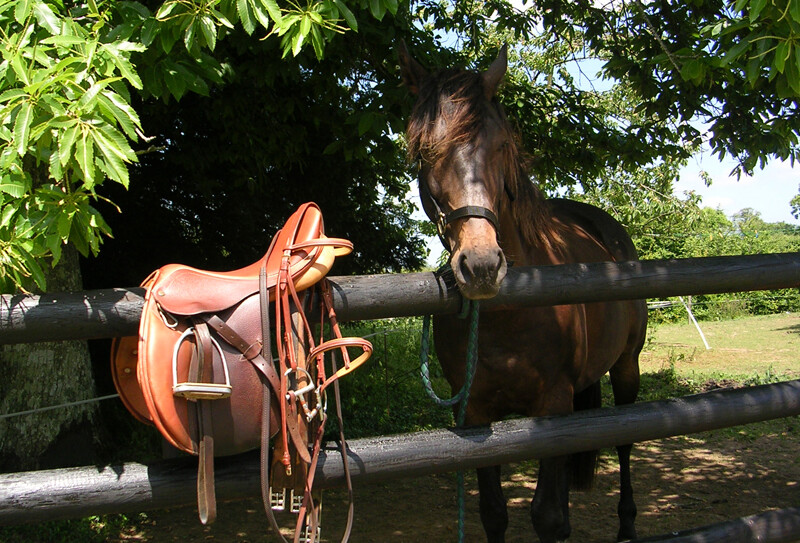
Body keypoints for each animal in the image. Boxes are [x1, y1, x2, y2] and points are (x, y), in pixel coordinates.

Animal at [400, 41, 648, 543]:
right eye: (425, 153)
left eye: (501, 146)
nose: (481, 266)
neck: (508, 317)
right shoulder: (473, 411)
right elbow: (496, 512)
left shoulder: (552, 406)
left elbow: (547, 516)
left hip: (627, 368)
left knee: (624, 441)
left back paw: (628, 525)